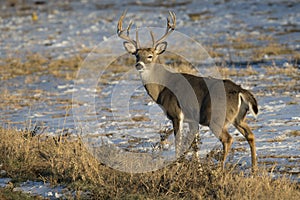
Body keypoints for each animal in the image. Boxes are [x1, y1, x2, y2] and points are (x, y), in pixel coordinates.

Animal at [116, 11, 258, 170]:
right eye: (136, 55)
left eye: (150, 56)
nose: (139, 65)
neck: (162, 87)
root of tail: (240, 91)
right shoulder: (192, 119)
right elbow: (194, 145)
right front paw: (198, 168)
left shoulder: (176, 114)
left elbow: (178, 142)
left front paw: (177, 165)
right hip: (238, 117)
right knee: (250, 135)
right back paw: (254, 169)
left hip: (215, 116)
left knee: (228, 139)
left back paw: (219, 170)